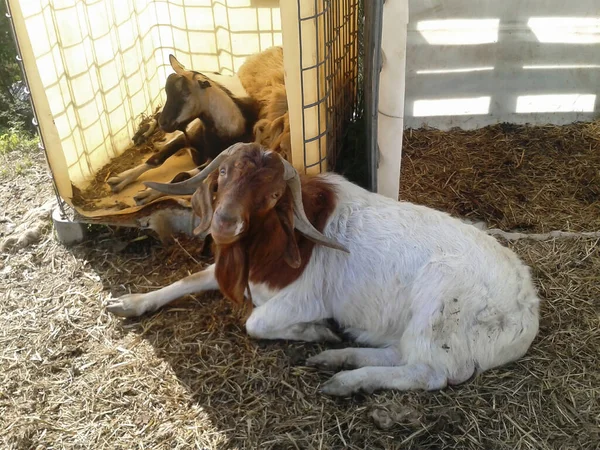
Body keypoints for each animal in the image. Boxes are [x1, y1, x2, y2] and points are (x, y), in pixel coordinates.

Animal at [105, 142, 540, 396]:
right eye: (224, 174)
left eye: (273, 195)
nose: (225, 223)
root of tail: (527, 309)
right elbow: (190, 278)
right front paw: (128, 302)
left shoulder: (302, 299)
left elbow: (255, 323)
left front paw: (316, 330)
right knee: (400, 353)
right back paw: (340, 358)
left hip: (439, 305)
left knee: (427, 371)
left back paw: (344, 380)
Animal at [106, 54, 258, 206]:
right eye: (167, 92)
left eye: (185, 93)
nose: (164, 123)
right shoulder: (186, 137)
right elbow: (156, 159)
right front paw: (119, 179)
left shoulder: (213, 161)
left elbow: (182, 177)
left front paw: (146, 193)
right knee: (156, 116)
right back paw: (142, 134)